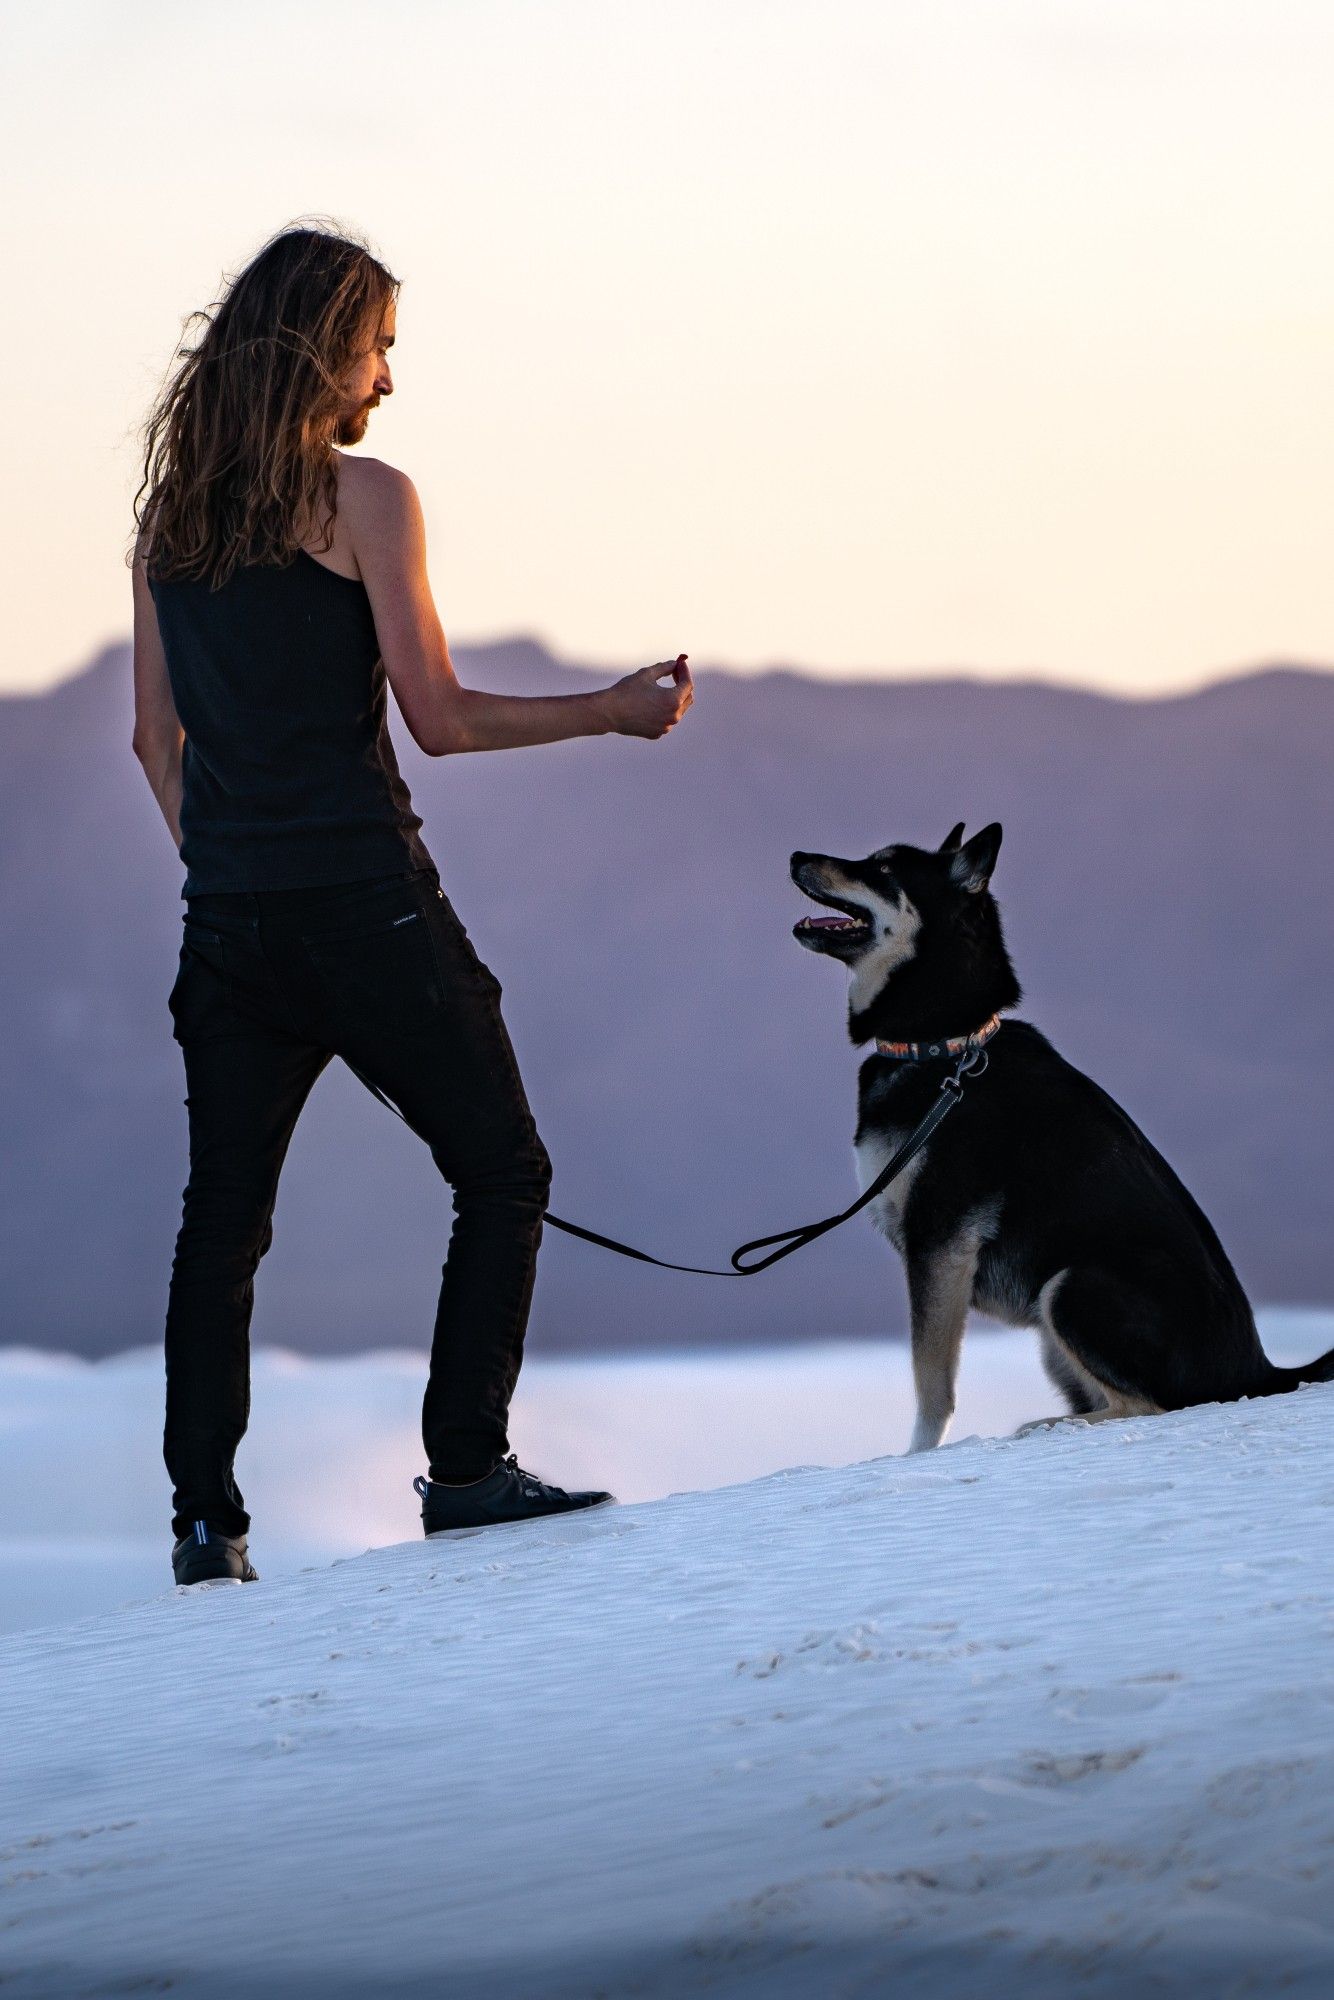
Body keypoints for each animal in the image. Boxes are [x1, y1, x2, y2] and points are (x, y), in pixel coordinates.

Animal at [792, 824, 1334, 1456]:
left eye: (882, 870)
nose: (795, 856)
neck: (947, 1047)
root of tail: (1258, 1373)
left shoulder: (940, 1243)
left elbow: (932, 1382)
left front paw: (918, 1457)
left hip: (1072, 1286)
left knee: (1148, 1405)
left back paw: (1050, 1426)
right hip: (1055, 1334)